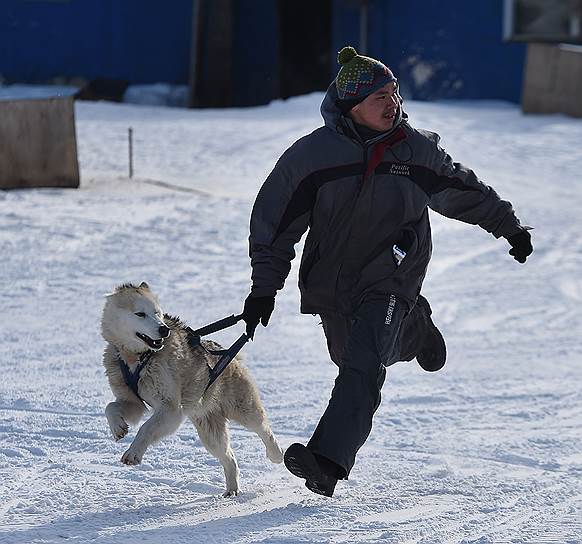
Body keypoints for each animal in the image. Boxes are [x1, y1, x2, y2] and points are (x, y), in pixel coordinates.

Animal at [101, 284, 284, 498]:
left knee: (264, 430)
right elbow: (110, 407)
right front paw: (118, 428)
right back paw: (232, 490)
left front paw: (133, 453)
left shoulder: (171, 409)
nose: (164, 330)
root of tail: (226, 352)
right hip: (209, 432)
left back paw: (276, 454)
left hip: (244, 409)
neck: (138, 357)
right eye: (140, 314)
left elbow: (146, 428)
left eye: (157, 313)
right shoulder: (133, 402)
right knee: (229, 458)